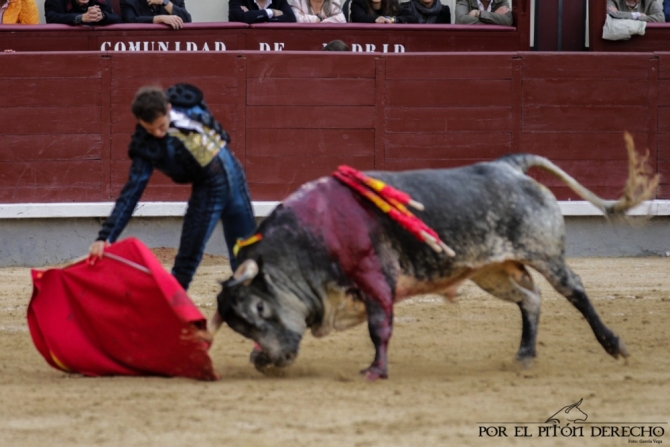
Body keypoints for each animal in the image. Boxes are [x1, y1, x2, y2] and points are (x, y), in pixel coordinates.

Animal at [211, 135, 660, 380]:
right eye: (238, 326)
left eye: (258, 308)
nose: (275, 358)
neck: (309, 239)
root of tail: (507, 166)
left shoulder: (377, 278)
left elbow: (379, 327)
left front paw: (375, 371)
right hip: (489, 271)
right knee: (530, 298)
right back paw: (524, 357)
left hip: (546, 254)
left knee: (575, 291)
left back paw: (614, 345)